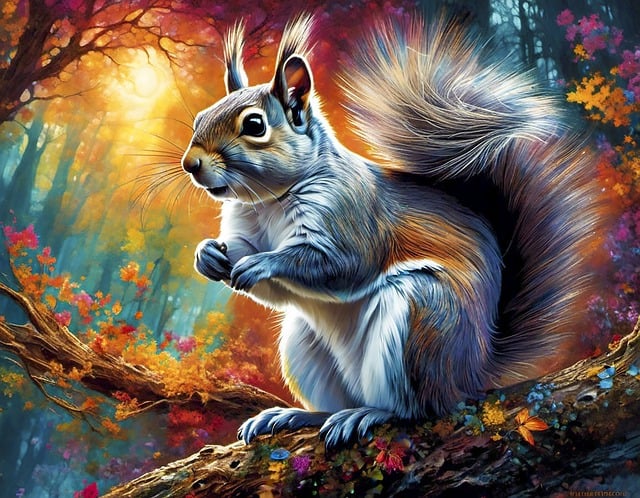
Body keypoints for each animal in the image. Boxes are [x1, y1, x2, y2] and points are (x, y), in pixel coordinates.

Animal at [181, 14, 606, 448]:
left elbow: (340, 265)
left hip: (420, 321)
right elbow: (248, 260)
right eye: (199, 118)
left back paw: (368, 414)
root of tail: (471, 374)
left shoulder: (352, 217)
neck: (269, 201)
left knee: (414, 408)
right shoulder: (245, 228)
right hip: (305, 345)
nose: (190, 164)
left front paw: (262, 263)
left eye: (254, 125)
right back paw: (296, 416)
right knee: (333, 404)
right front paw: (208, 254)